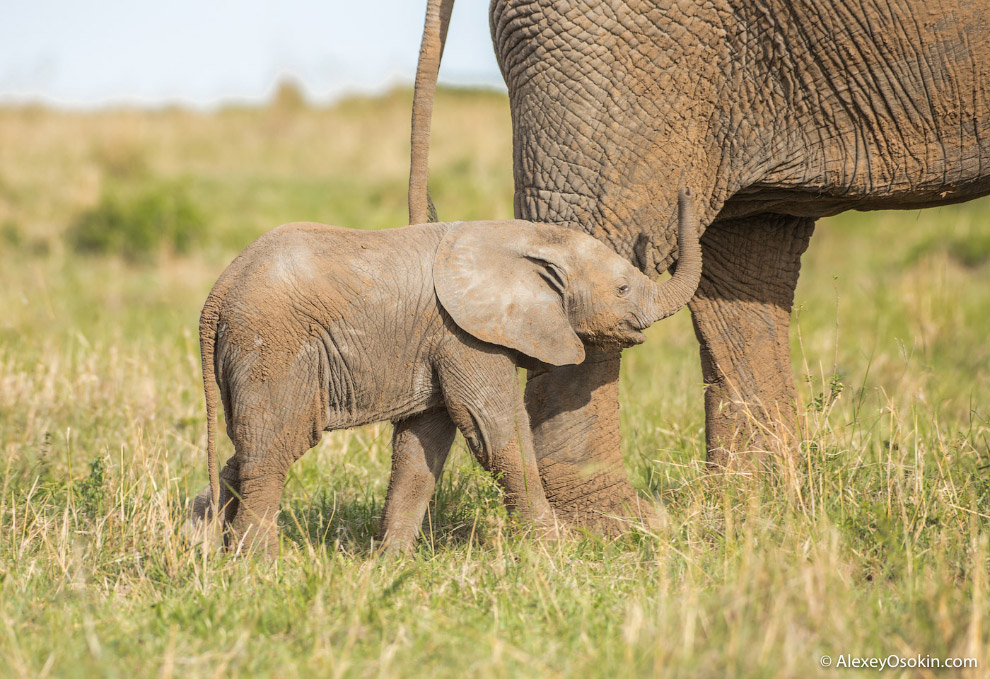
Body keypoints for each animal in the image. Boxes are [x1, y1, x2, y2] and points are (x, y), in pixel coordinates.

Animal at [194, 189, 700, 556]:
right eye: (623, 289)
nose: (686, 191)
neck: (527, 238)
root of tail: (216, 295)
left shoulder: (435, 342)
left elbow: (421, 447)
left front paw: (391, 563)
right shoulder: (464, 334)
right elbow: (495, 432)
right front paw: (558, 550)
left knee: (243, 453)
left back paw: (208, 545)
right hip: (273, 348)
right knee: (274, 450)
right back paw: (257, 564)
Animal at [410, 0, 990, 532]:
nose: (685, 198)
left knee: (749, 251)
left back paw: (757, 514)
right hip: (624, 42)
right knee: (595, 227)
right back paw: (626, 527)